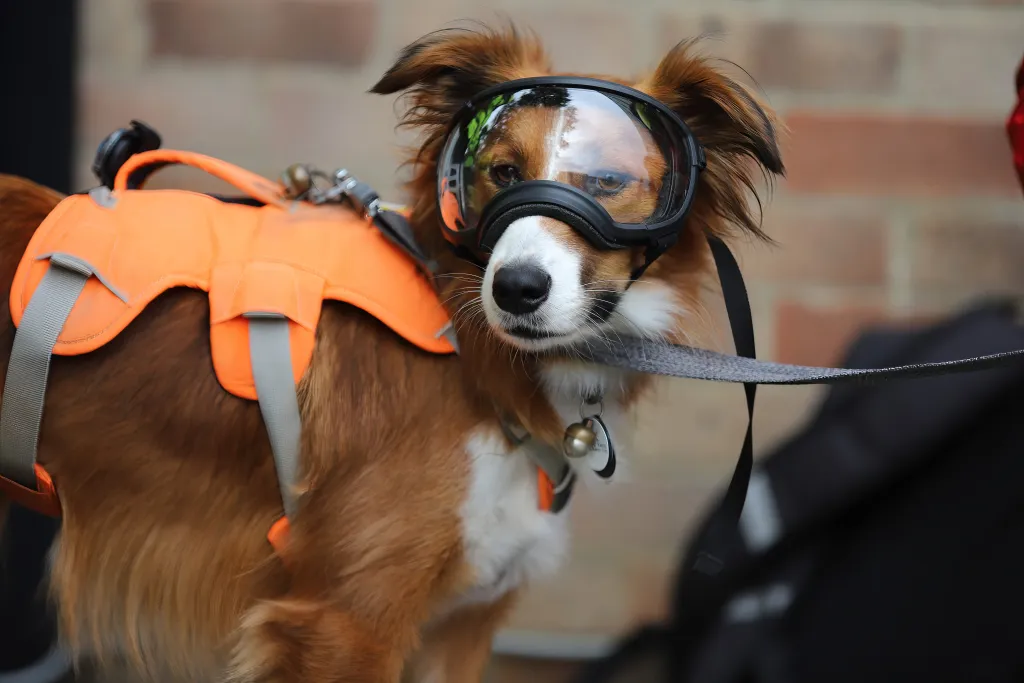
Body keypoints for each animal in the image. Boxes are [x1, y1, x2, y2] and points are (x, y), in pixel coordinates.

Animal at [0, 24, 778, 683]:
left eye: (610, 182)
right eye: (500, 171)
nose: (517, 289)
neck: (466, 351)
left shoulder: (457, 628)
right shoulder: (344, 623)